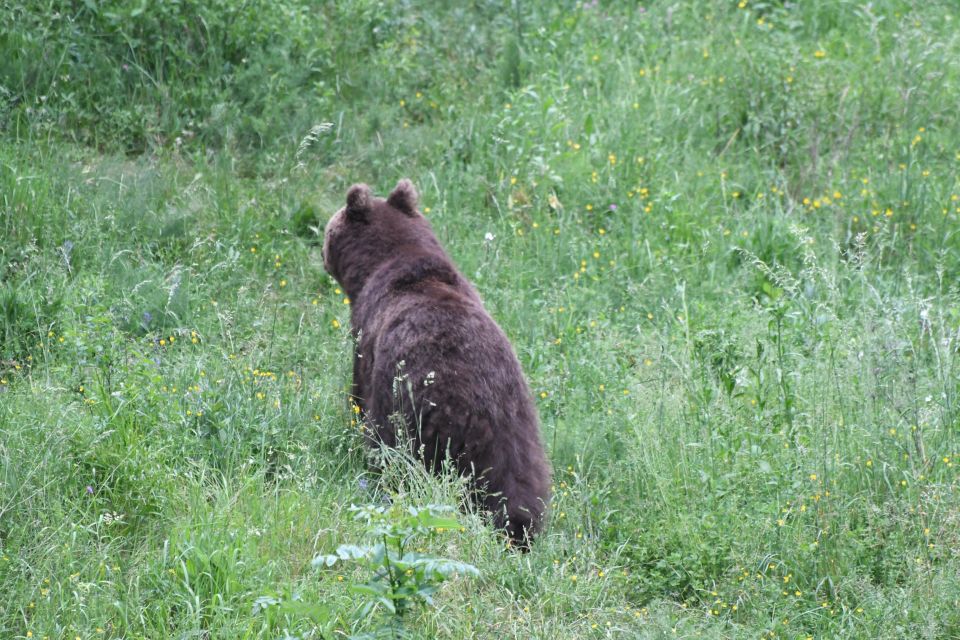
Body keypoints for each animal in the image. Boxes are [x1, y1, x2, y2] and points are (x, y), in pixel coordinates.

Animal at [322, 180, 552, 544]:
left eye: (329, 232)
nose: (321, 255)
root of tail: (475, 408)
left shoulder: (368, 335)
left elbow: (358, 389)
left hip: (413, 409)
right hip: (517, 424)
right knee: (519, 483)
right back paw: (519, 526)